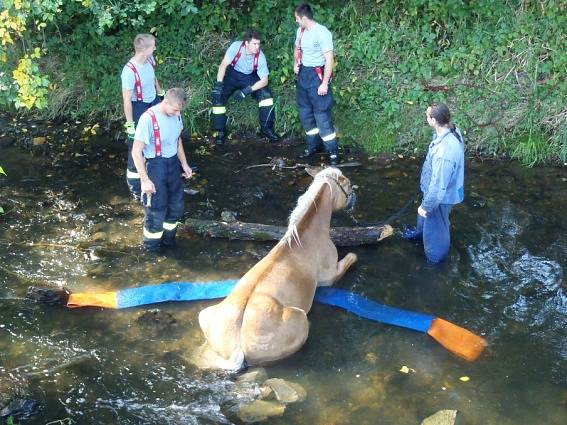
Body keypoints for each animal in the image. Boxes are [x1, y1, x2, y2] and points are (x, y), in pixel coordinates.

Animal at [200, 167, 358, 370]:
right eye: (347, 184)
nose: (354, 195)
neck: (305, 236)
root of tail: (238, 347)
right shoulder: (330, 277)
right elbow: (352, 257)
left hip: (205, 314)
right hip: (300, 319)